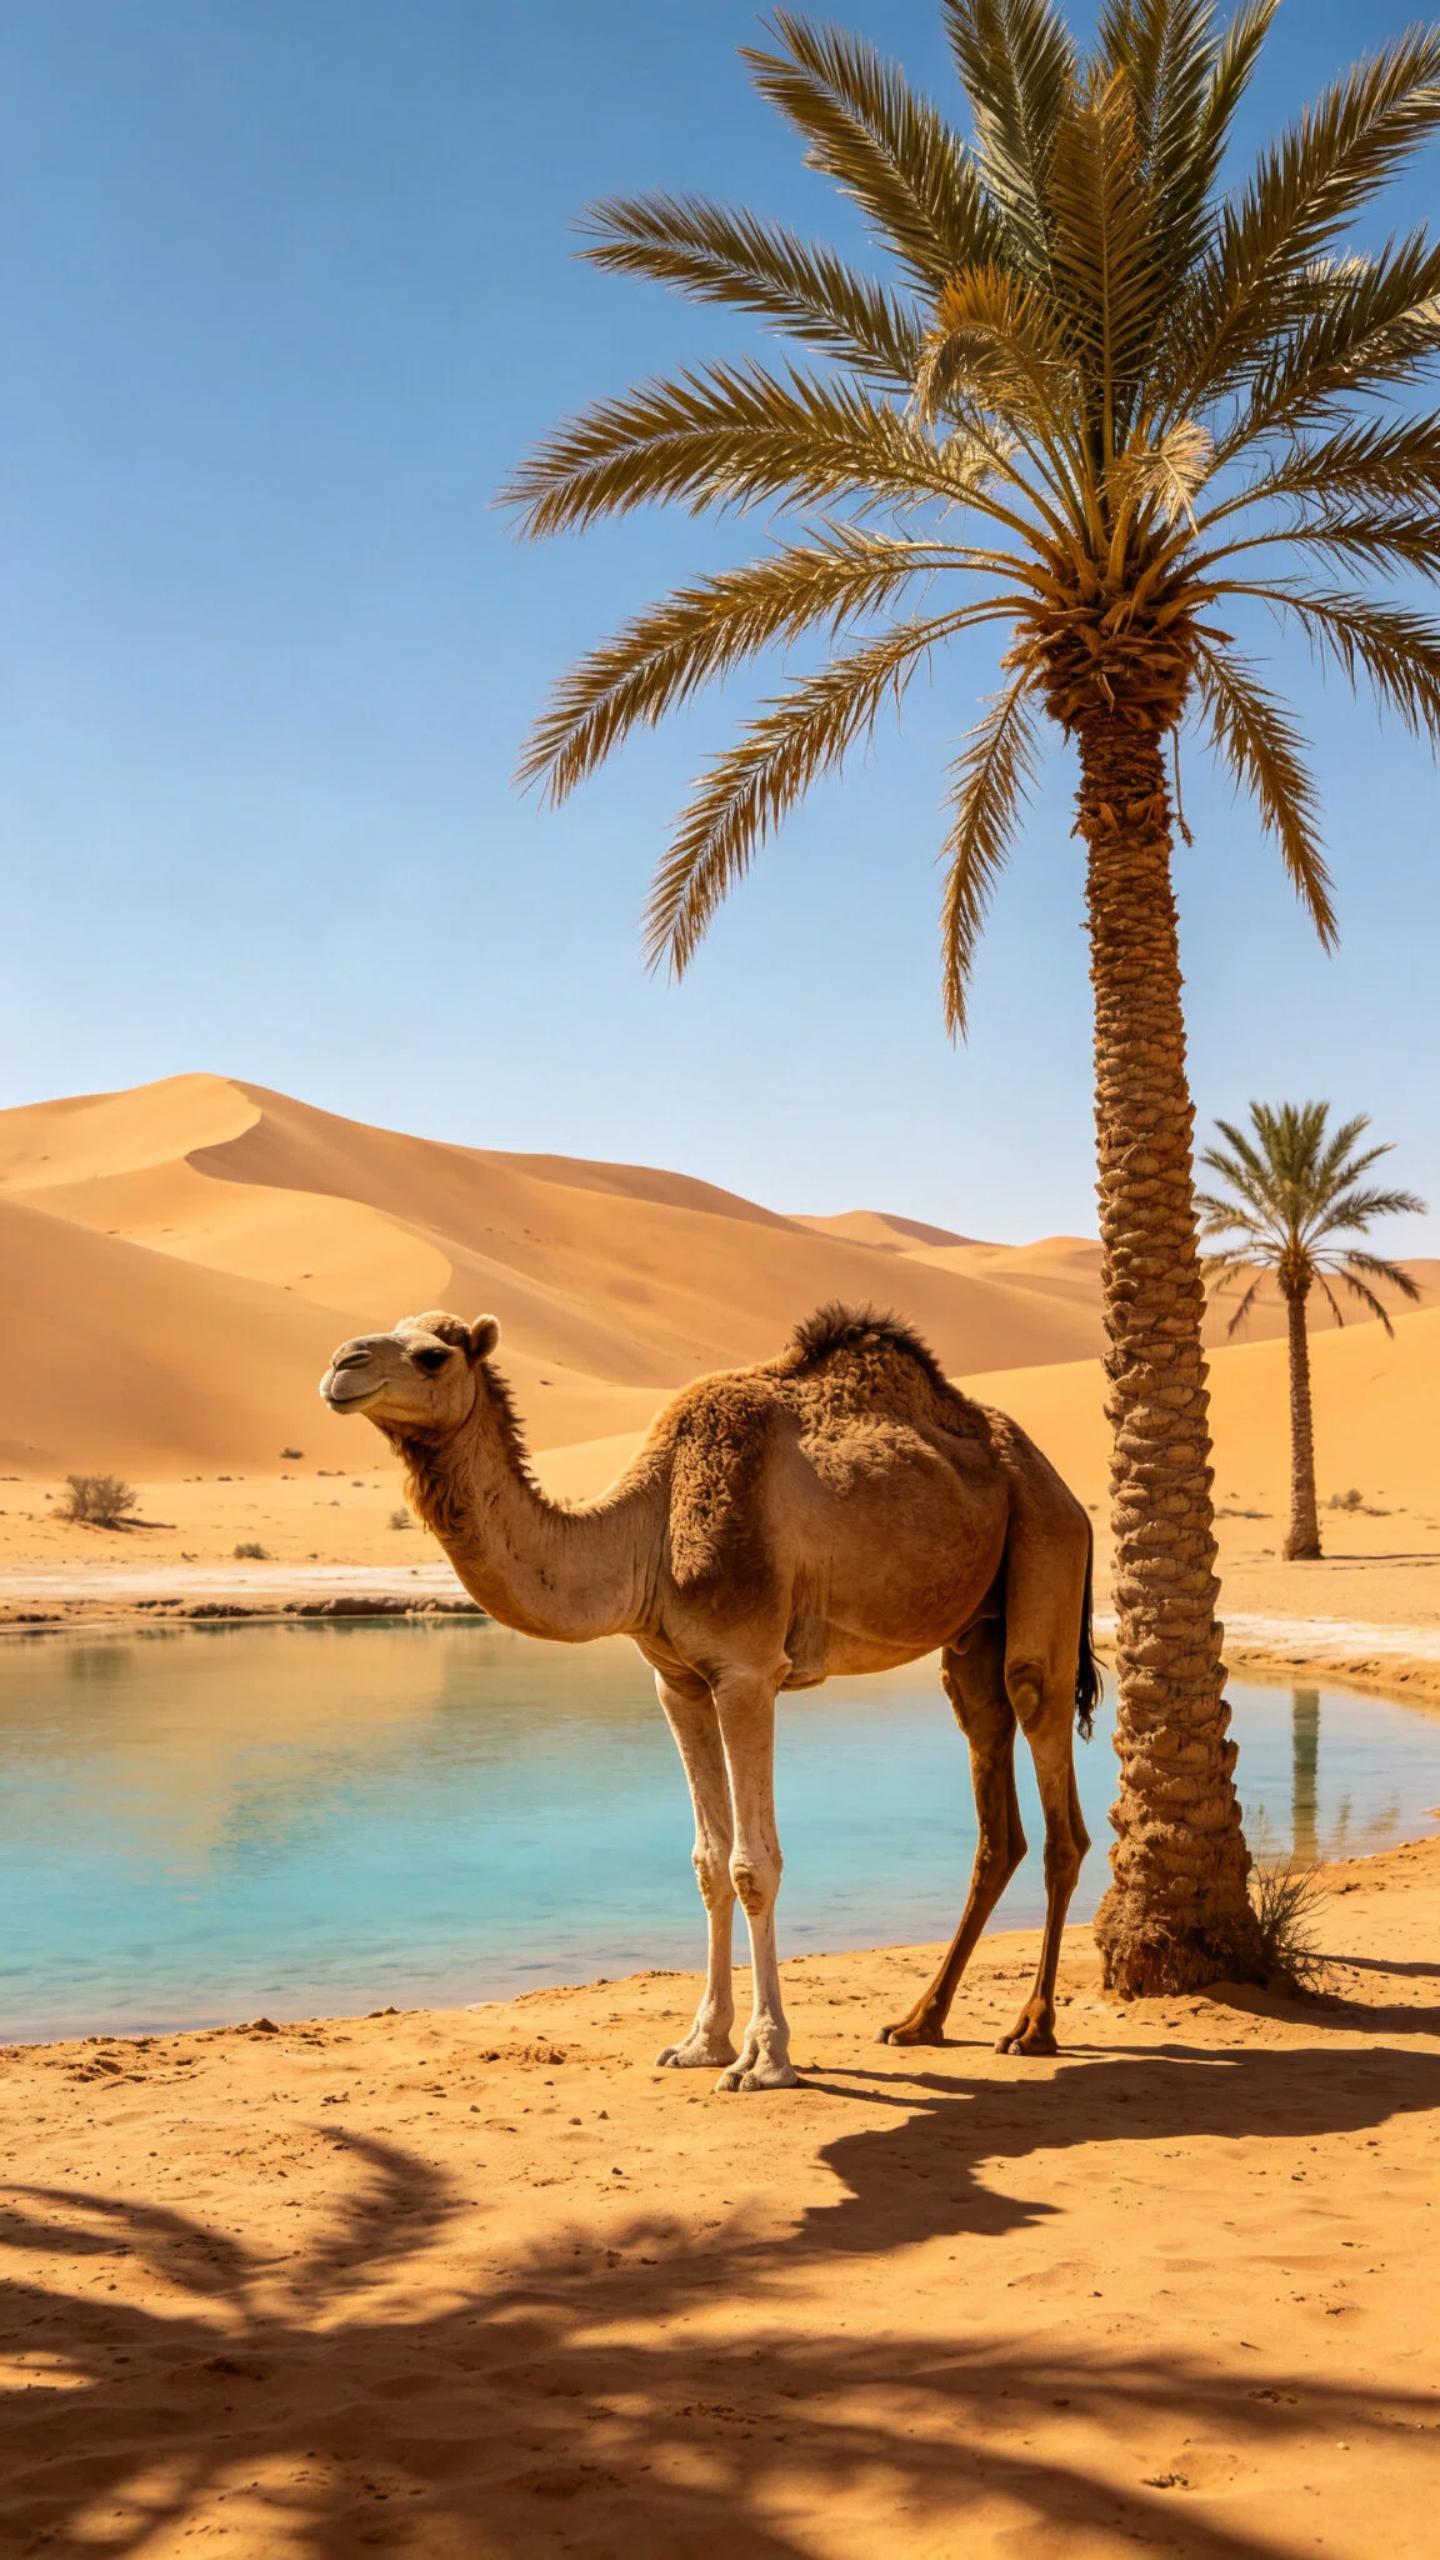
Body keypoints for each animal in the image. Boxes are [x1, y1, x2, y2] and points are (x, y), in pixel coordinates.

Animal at [320, 1303, 1098, 2091]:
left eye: (431, 1356)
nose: (341, 1364)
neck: (648, 1531)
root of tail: (1058, 1483)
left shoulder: (747, 1671)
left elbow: (753, 1866)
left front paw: (766, 2057)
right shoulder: (679, 1682)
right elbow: (707, 1861)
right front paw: (700, 2041)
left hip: (1047, 1542)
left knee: (1048, 1764)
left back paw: (1032, 2028)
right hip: (973, 1630)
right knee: (993, 1799)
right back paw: (918, 2021)